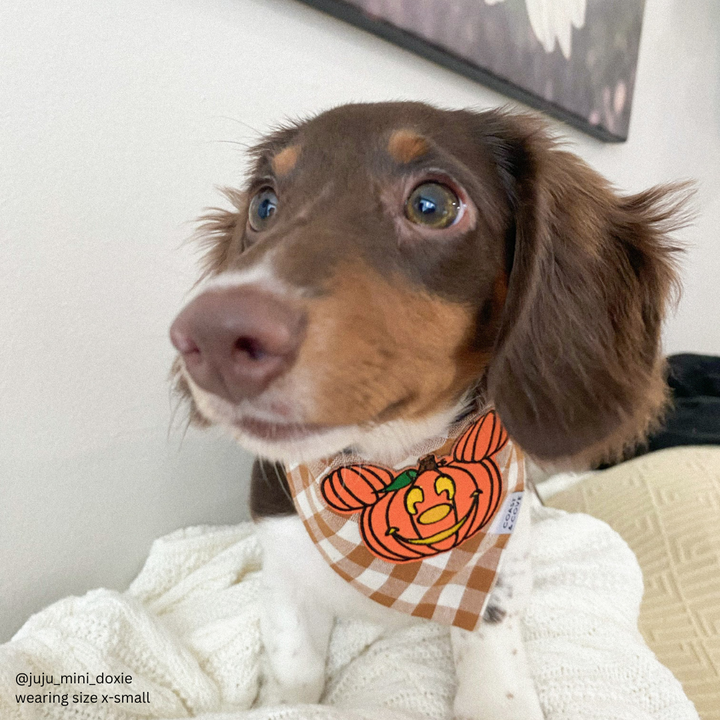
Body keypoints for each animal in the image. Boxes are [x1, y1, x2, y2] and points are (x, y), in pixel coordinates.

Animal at [167, 102, 688, 720]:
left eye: (432, 205)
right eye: (264, 205)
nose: (210, 338)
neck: (393, 460)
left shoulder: (499, 568)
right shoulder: (284, 568)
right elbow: (292, 675)